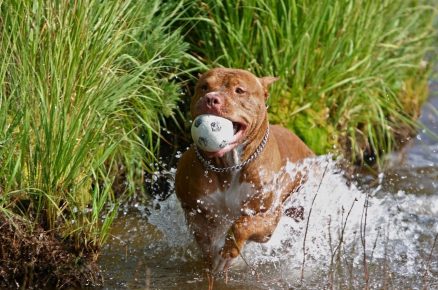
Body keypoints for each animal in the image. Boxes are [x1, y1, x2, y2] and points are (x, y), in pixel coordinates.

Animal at [175, 68, 314, 274]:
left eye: (239, 90)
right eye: (204, 87)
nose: (211, 99)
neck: (229, 164)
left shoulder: (268, 217)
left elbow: (242, 225)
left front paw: (227, 253)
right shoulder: (194, 208)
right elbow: (206, 238)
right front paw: (214, 259)